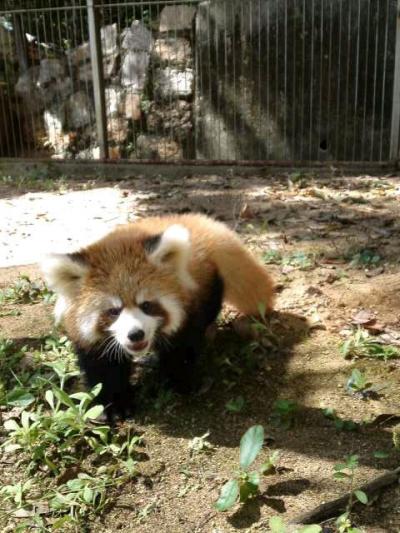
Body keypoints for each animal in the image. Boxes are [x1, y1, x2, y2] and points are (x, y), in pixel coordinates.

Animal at [42, 212, 276, 420]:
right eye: (114, 311)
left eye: (146, 305)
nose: (135, 334)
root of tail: (196, 224)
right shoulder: (92, 341)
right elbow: (103, 367)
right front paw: (113, 404)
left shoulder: (188, 313)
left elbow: (181, 349)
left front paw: (177, 382)